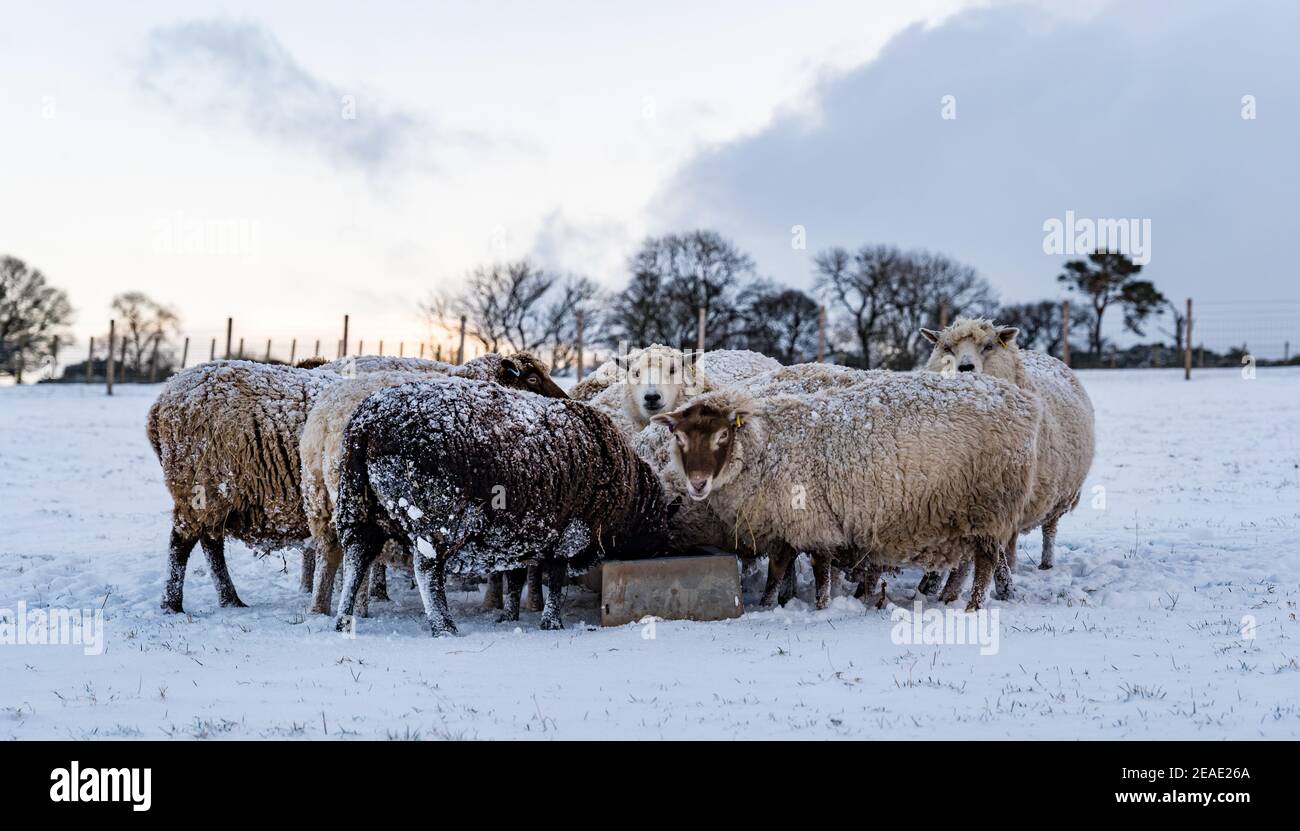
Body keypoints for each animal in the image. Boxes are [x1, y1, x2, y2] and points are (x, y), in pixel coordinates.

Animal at [655, 366, 1040, 613]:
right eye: (679, 438)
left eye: (722, 435)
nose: (698, 483)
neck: (768, 446)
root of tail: (1022, 404)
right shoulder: (784, 522)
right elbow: (778, 569)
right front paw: (766, 605)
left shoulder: (813, 520)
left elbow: (821, 569)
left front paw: (822, 607)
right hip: (963, 513)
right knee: (970, 560)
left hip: (989, 505)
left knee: (986, 561)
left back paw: (973, 606)